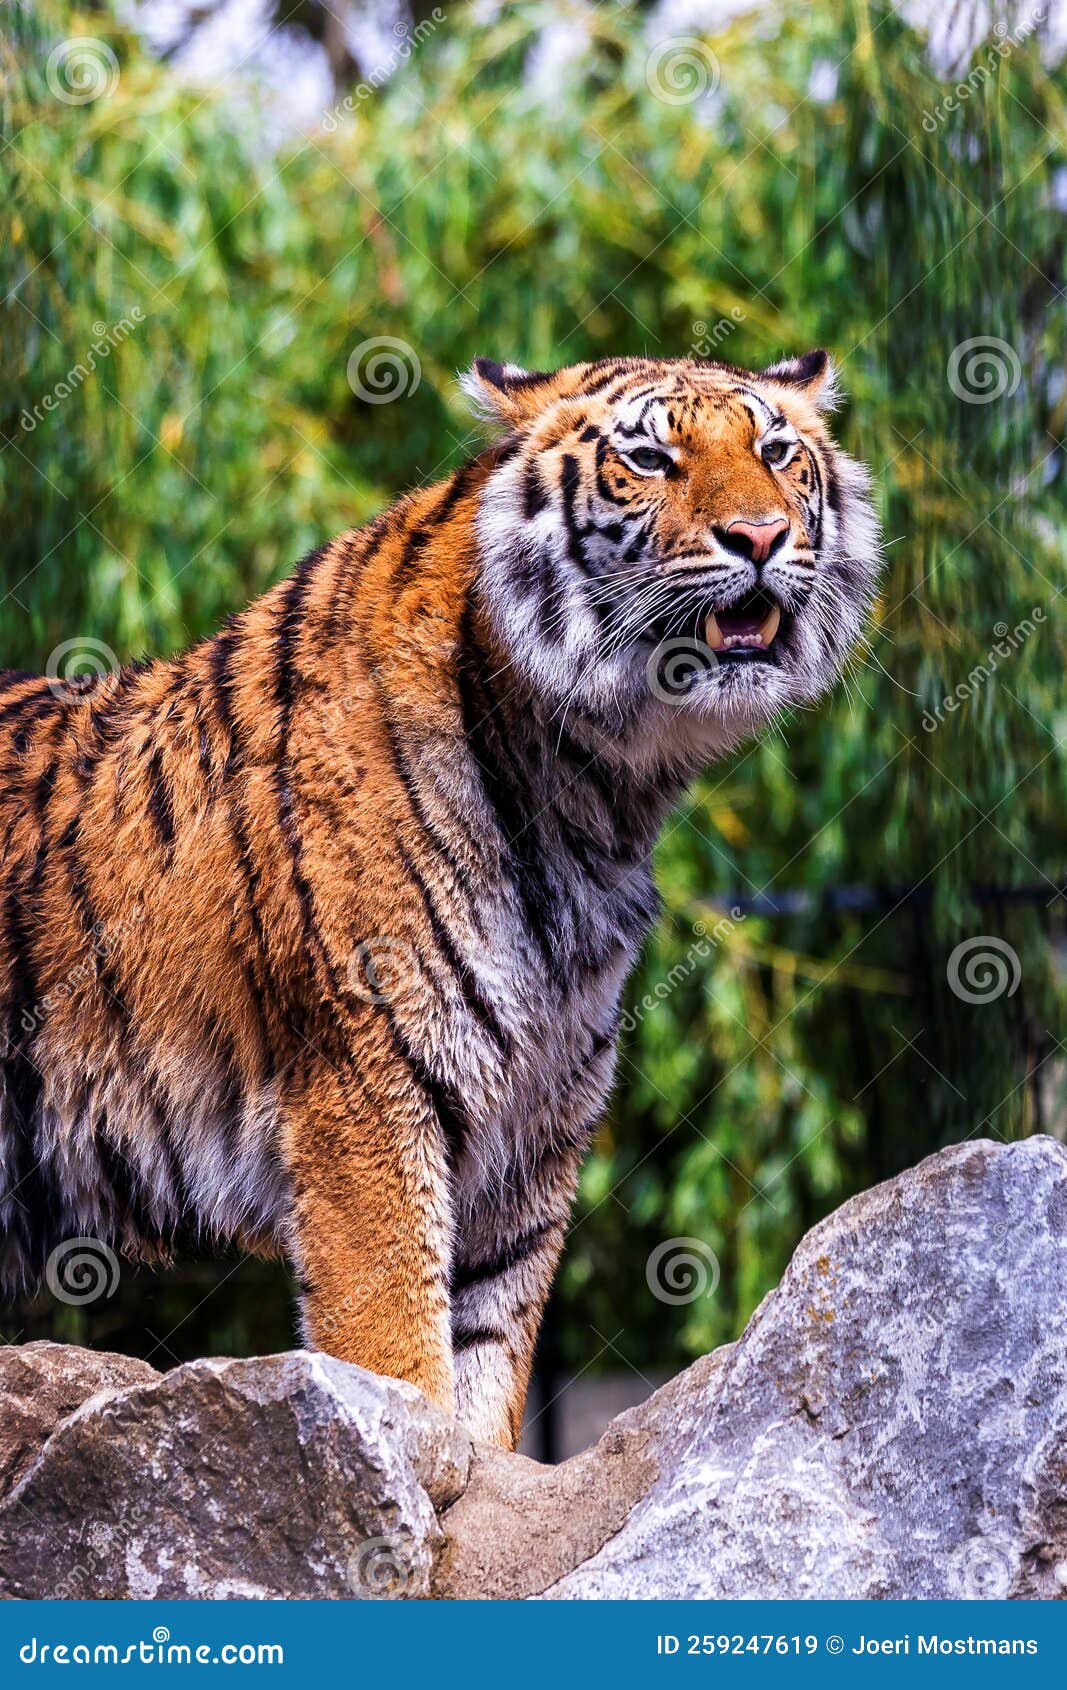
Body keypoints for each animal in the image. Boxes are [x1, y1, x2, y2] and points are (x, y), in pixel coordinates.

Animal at [0, 346, 879, 1453]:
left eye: (775, 451)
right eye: (648, 458)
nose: (760, 536)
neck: (593, 789)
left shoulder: (535, 1118)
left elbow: (487, 1367)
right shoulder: (365, 1094)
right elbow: (396, 1357)